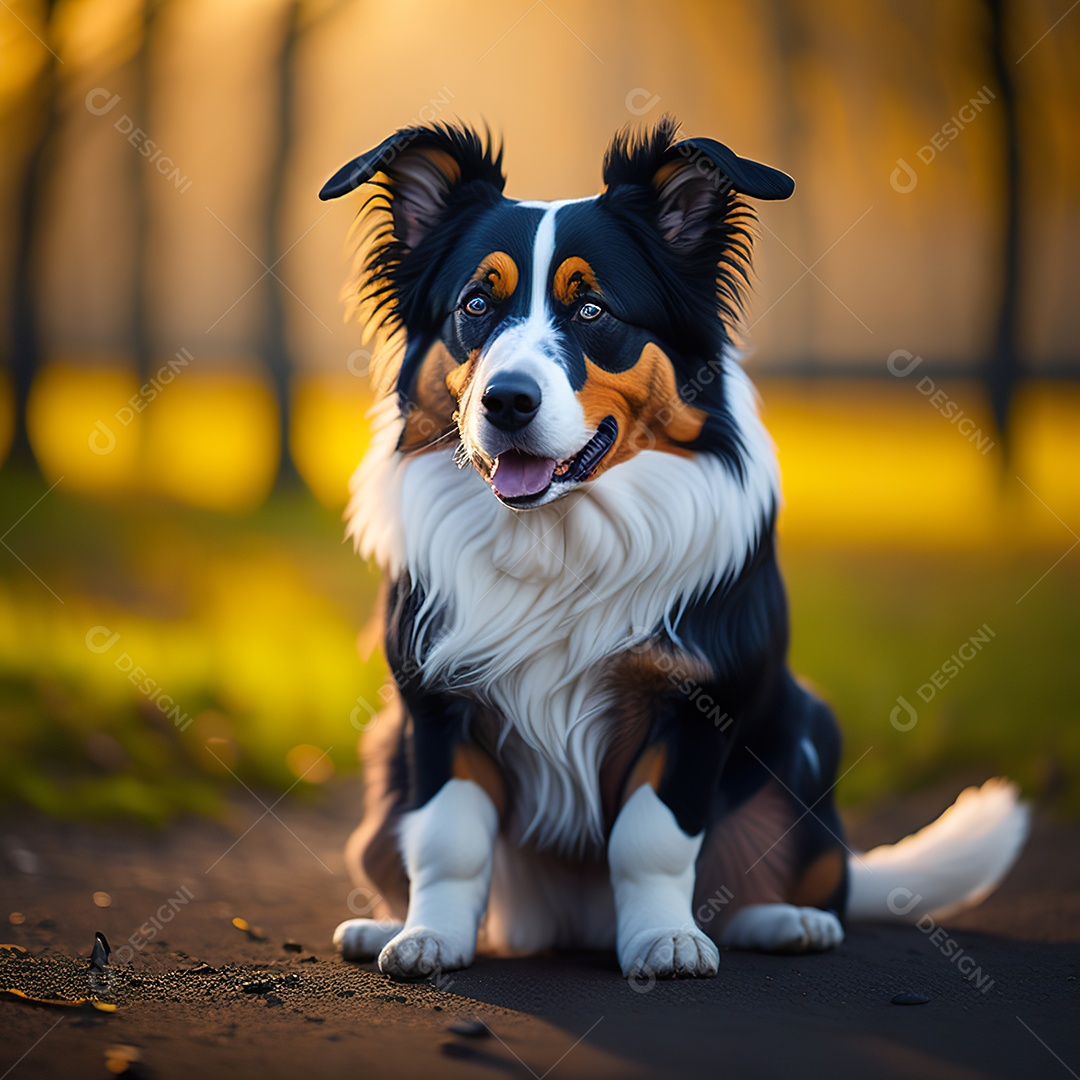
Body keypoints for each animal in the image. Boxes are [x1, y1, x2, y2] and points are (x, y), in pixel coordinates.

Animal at [317, 116, 1028, 980]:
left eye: (592, 309)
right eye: (476, 304)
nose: (506, 401)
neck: (562, 533)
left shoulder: (695, 701)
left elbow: (651, 840)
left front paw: (664, 940)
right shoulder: (435, 703)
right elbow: (449, 839)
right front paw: (429, 938)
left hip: (809, 729)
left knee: (806, 882)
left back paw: (785, 921)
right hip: (385, 748)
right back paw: (383, 924)